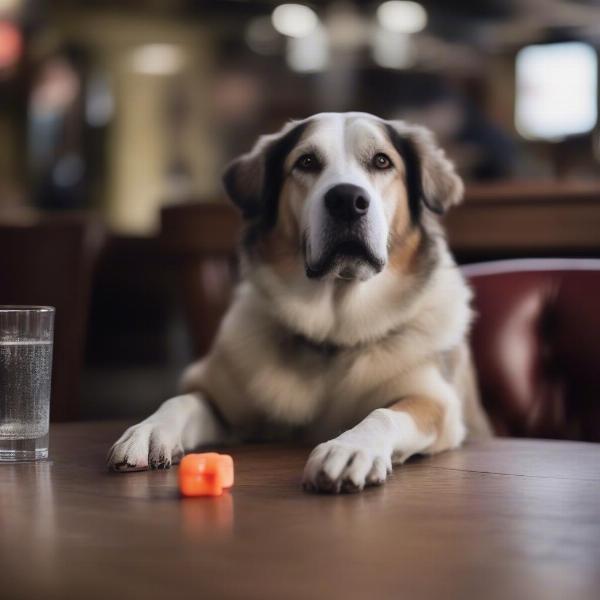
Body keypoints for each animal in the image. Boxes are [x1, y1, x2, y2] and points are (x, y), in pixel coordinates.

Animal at [108, 111, 492, 492]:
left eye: (382, 161)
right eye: (306, 162)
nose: (347, 200)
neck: (334, 334)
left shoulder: (437, 403)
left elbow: (384, 414)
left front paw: (351, 448)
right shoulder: (222, 401)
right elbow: (183, 400)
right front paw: (151, 429)